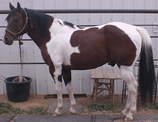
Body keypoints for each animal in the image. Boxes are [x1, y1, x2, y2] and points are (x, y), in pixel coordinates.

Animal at [3, 2, 156, 120]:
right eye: (7, 19)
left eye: (16, 19)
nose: (6, 39)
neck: (52, 35)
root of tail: (134, 28)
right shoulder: (66, 68)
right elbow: (69, 87)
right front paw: (72, 109)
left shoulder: (55, 68)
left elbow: (58, 89)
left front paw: (58, 110)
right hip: (126, 67)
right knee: (130, 88)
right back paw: (124, 112)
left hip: (125, 67)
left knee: (133, 87)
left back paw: (129, 115)